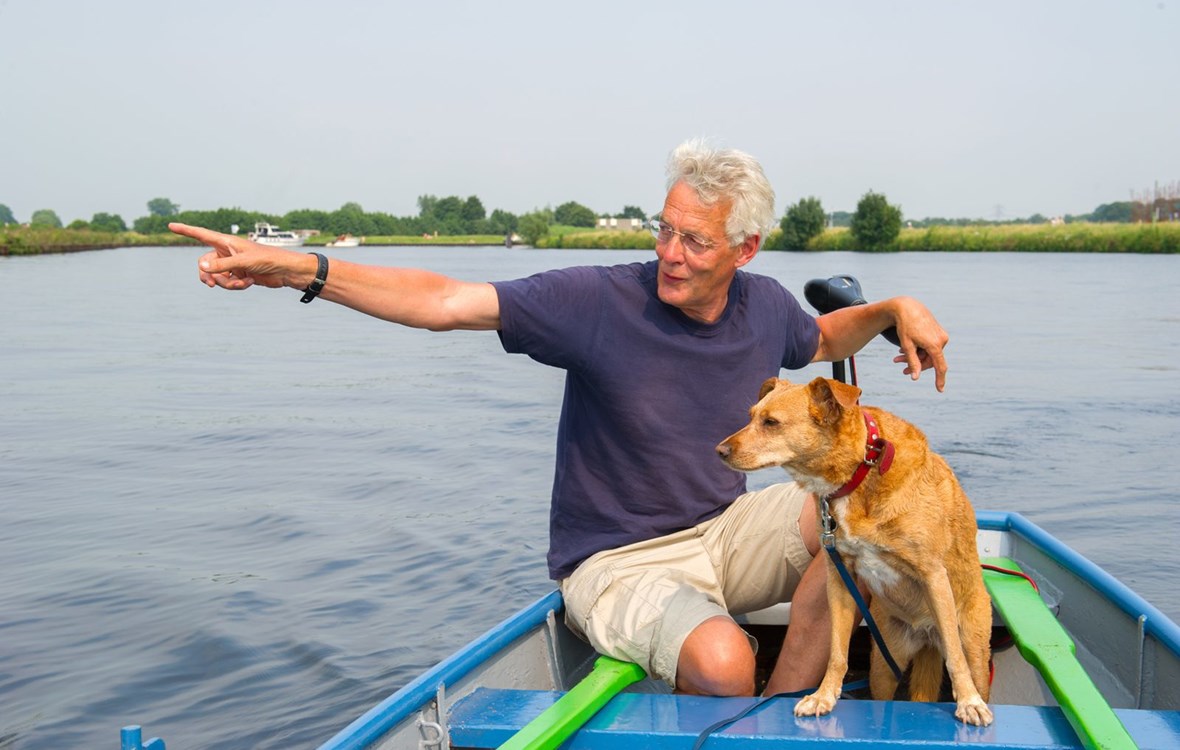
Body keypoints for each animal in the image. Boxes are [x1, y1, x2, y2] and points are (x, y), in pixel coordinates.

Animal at [712, 374, 991, 726]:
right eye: (750, 416)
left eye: (771, 422)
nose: (719, 450)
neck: (861, 469)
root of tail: (928, 636)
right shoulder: (839, 578)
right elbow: (836, 652)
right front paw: (824, 696)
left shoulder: (933, 575)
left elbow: (954, 658)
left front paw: (968, 701)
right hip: (883, 663)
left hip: (974, 647)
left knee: (964, 657)